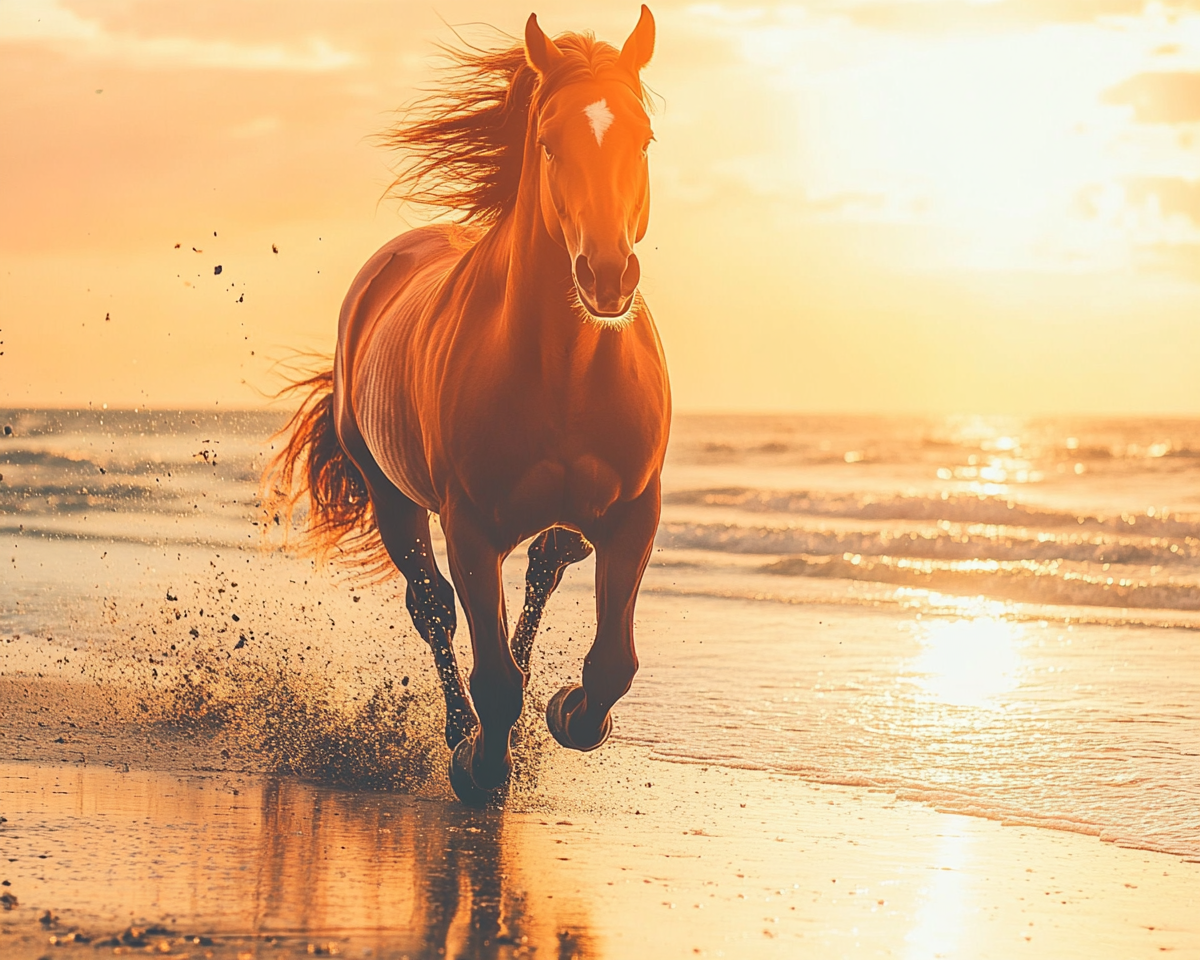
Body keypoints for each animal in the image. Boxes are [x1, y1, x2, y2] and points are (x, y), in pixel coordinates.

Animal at [266, 7, 672, 806]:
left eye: (641, 137)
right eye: (549, 141)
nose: (607, 274)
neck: (565, 372)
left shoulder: (634, 511)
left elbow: (613, 662)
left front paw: (570, 713)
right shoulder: (471, 523)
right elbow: (493, 676)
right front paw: (479, 765)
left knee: (544, 569)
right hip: (393, 497)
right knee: (434, 610)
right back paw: (462, 735)